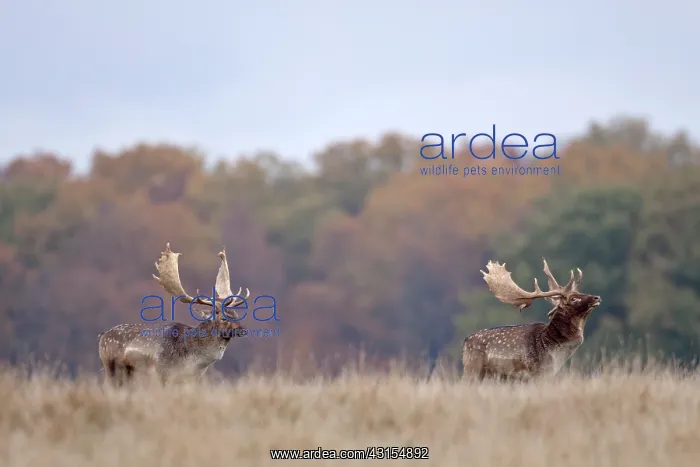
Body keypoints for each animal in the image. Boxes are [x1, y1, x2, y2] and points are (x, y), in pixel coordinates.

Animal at [98, 242, 250, 386]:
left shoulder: (194, 378)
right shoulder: (162, 372)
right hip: (111, 367)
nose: (243, 330)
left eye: (236, 314)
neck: (194, 362)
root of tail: (102, 336)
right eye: (223, 318)